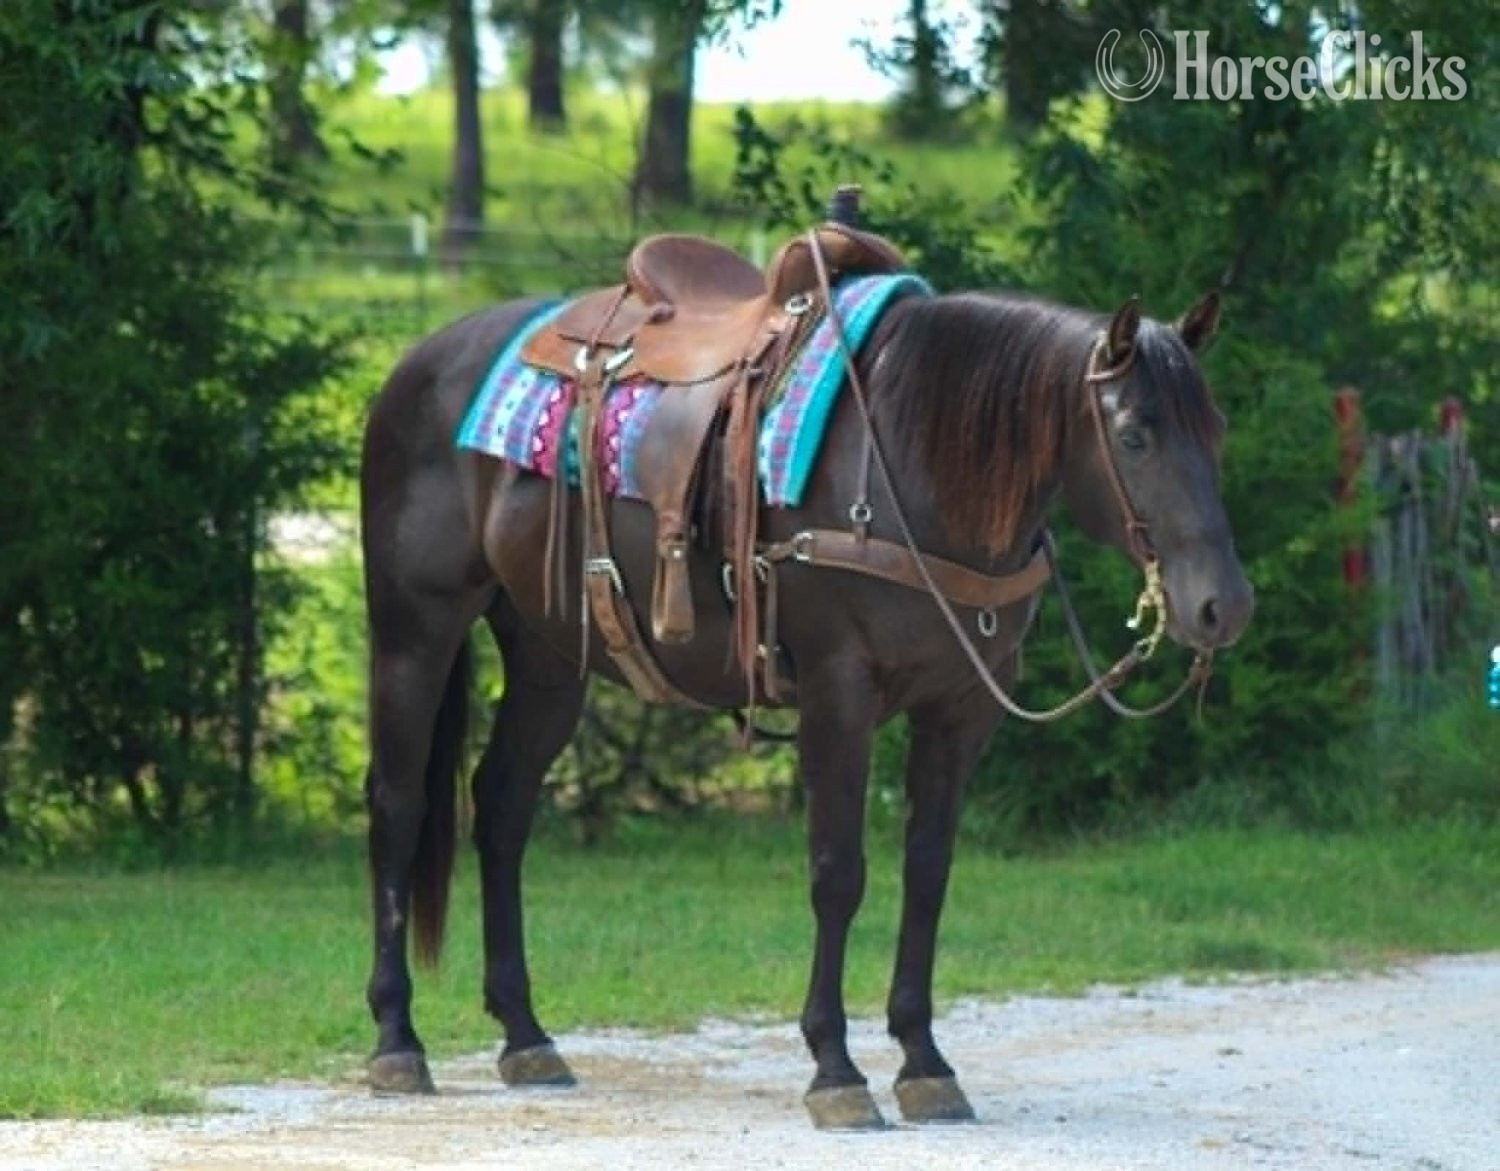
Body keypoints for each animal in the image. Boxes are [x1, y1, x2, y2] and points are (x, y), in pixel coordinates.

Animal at [356, 255, 1255, 1129]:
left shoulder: (961, 708)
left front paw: (925, 1062)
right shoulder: (838, 695)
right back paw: (398, 1040)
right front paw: (836, 1069)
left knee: (503, 807)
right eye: (1134, 434)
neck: (912, 466)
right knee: (399, 805)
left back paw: (526, 1035)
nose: (1224, 605)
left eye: (1217, 429)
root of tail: (417, 359)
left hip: (548, 656)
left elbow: (928, 871)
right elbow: (838, 872)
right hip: (415, 630)